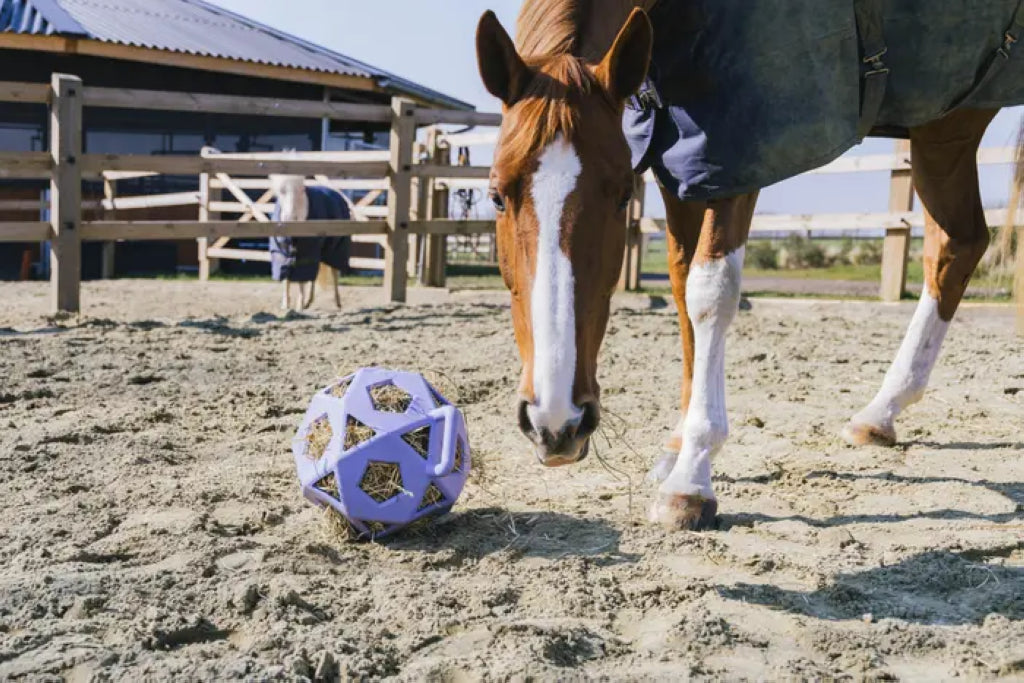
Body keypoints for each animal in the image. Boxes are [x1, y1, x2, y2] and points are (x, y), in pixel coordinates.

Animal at [479, 0, 1024, 532]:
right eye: (497, 196)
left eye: (621, 197)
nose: (557, 425)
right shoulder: (681, 163)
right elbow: (682, 285)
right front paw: (678, 445)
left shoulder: (738, 153)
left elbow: (710, 292)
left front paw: (691, 478)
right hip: (943, 125)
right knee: (958, 243)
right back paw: (880, 414)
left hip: (948, 123)